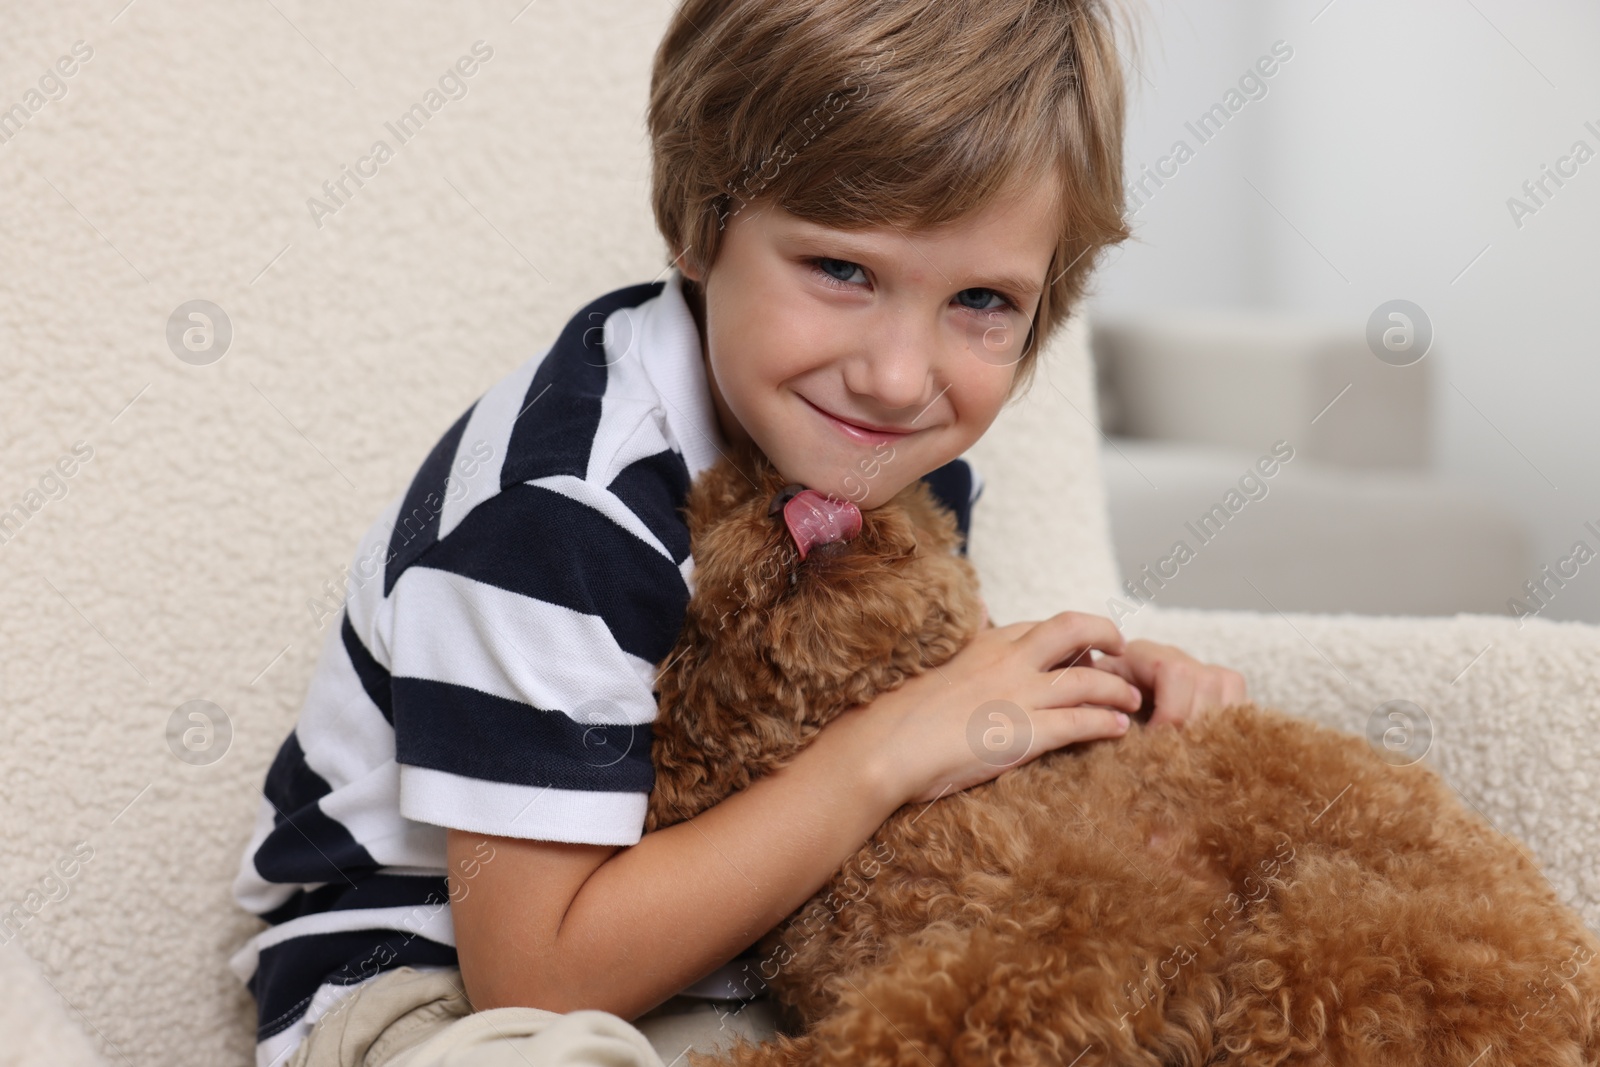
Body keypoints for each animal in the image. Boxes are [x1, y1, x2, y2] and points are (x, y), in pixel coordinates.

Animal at [643, 435, 1593, 1067]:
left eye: (763, 481)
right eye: (724, 508)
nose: (795, 494)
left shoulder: (1087, 924)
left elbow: (922, 1020)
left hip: (1329, 938)